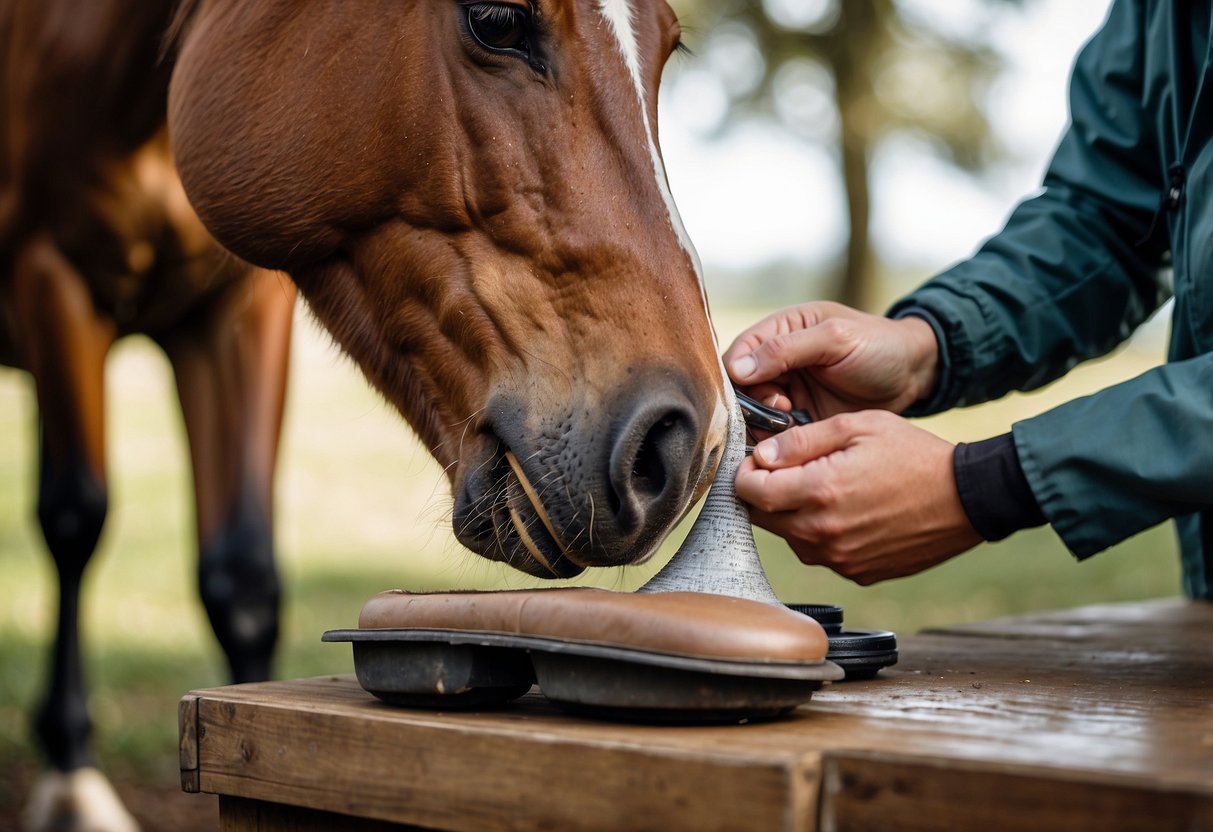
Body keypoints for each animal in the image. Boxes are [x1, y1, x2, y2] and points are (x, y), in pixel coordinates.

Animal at [7, 0, 727, 829]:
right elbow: (74, 518)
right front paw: (73, 783)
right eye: (496, 19)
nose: (684, 446)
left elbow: (241, 579)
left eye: (668, 46)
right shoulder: (54, 280)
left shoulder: (239, 310)